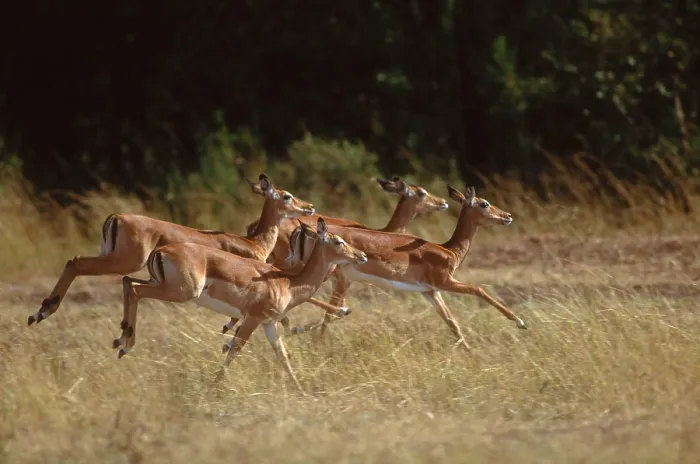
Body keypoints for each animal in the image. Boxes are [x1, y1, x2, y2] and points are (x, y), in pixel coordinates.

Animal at [26, 174, 334, 330]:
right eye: (286, 195)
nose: (309, 207)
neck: (253, 242)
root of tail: (115, 217)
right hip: (124, 262)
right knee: (77, 263)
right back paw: (43, 311)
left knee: (80, 264)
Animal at [113, 218, 368, 393]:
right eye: (338, 241)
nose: (362, 256)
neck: (287, 283)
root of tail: (159, 251)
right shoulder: (253, 318)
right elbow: (235, 349)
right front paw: (213, 388)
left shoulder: (269, 323)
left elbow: (282, 355)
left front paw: (301, 390)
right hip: (180, 292)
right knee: (134, 290)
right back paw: (125, 345)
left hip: (161, 284)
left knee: (128, 282)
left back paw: (120, 340)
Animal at [285, 185, 528, 349]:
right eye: (484, 203)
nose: (508, 216)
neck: (449, 251)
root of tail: (303, 229)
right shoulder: (445, 282)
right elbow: (479, 289)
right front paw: (520, 322)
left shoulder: (430, 291)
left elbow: (452, 322)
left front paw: (469, 352)